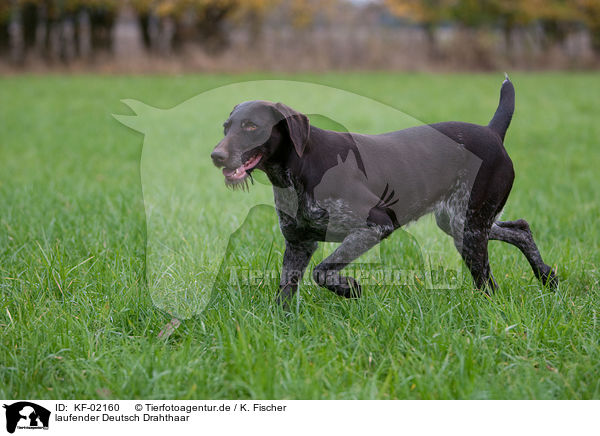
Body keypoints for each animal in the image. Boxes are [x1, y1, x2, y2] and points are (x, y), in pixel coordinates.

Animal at [211, 76, 556, 306]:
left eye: (251, 126)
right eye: (226, 127)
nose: (216, 156)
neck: (299, 168)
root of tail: (491, 132)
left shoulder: (375, 225)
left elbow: (322, 271)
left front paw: (349, 288)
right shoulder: (298, 243)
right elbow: (286, 289)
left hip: (469, 226)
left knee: (488, 281)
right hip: (461, 223)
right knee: (521, 229)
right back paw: (547, 277)